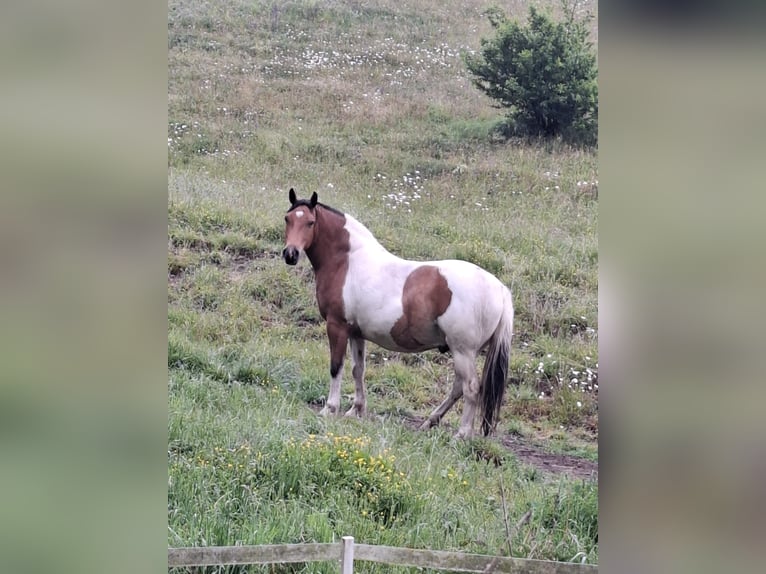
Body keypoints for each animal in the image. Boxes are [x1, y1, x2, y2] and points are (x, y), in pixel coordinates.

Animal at [282, 188, 514, 438]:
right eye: (288, 219)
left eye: (310, 222)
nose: (290, 254)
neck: (348, 261)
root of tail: (500, 289)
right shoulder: (356, 333)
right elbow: (358, 370)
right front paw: (356, 410)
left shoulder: (337, 327)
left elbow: (336, 367)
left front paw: (330, 408)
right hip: (463, 352)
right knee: (458, 388)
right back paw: (430, 421)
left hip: (463, 351)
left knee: (470, 388)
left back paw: (460, 434)